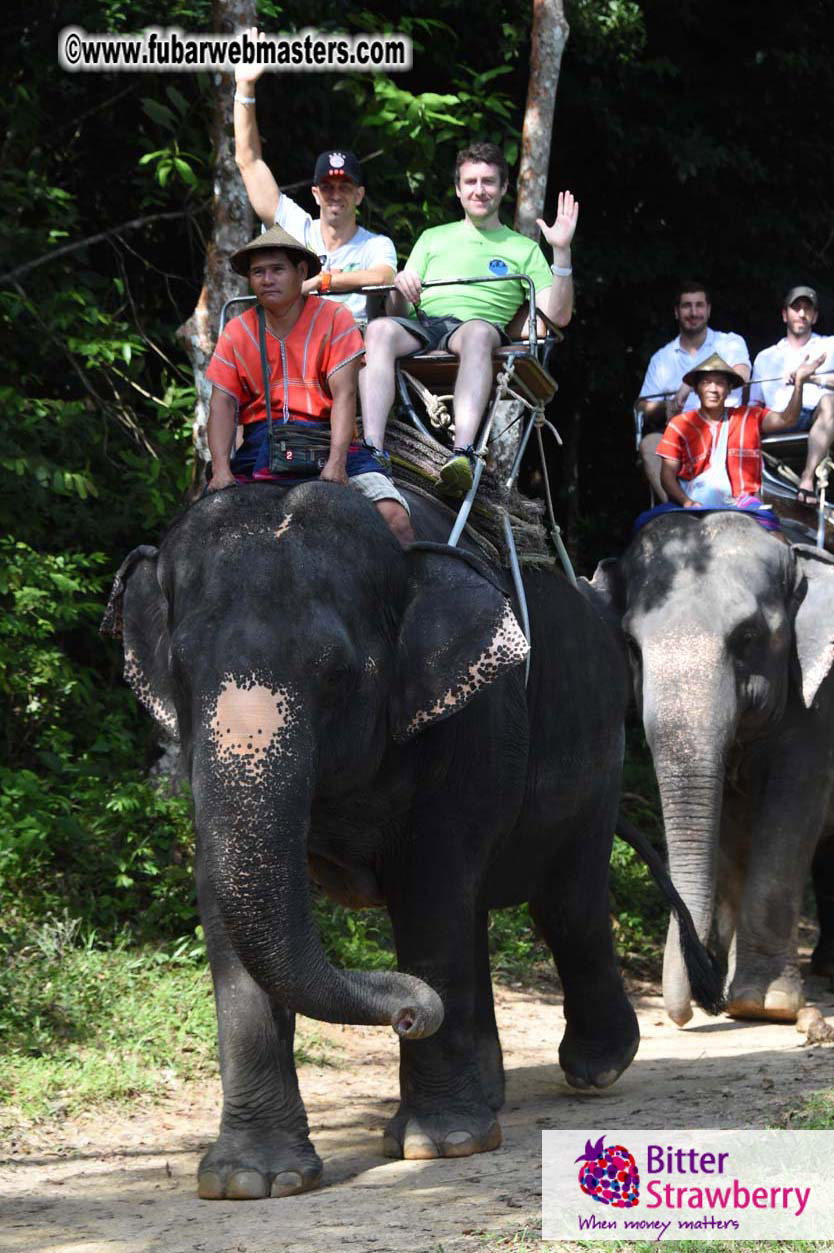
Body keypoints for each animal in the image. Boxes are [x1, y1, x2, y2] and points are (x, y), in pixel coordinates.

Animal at [104, 480, 720, 1200]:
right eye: (180, 671)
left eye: (337, 675)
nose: (409, 1012)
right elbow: (221, 902)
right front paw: (250, 1180)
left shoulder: (468, 721)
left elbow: (428, 891)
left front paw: (441, 1143)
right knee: (484, 911)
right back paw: (491, 1090)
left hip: (599, 749)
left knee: (564, 903)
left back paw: (597, 1068)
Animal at [586, 509, 834, 1026]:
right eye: (631, 645)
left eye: (748, 638)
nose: (698, 1005)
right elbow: (730, 827)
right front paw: (736, 997)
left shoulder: (820, 705)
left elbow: (791, 812)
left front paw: (766, 1005)